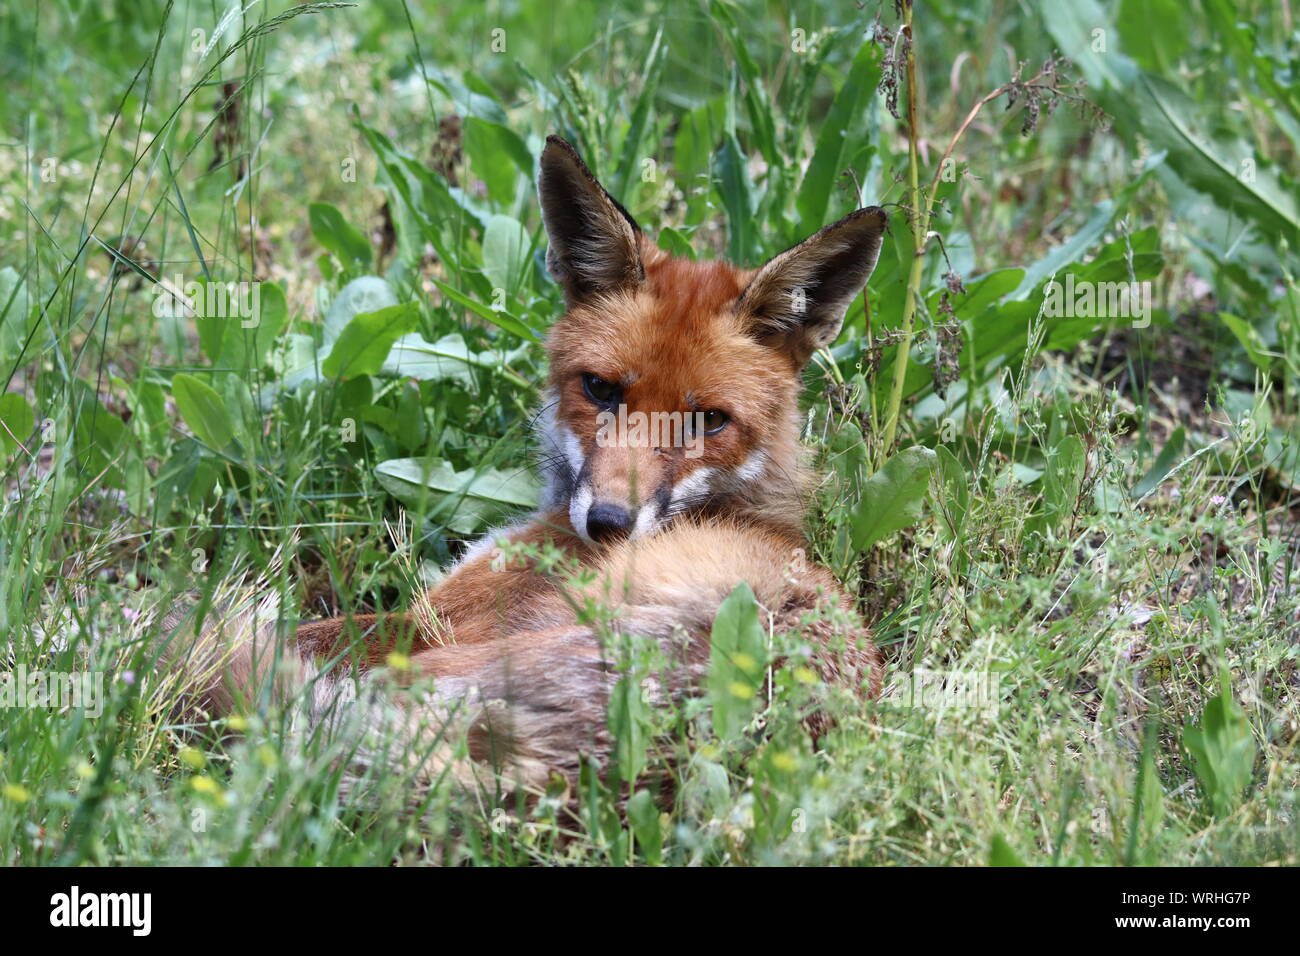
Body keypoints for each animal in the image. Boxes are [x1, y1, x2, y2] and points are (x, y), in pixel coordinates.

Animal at [170, 134, 883, 790]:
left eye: (707, 420)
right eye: (600, 388)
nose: (608, 525)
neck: (742, 504)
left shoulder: (431, 623)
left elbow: (298, 627)